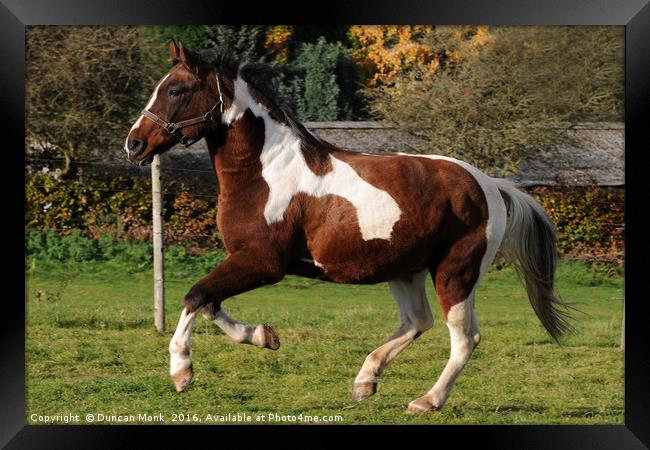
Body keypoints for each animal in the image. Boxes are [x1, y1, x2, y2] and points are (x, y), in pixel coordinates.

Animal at [124, 40, 568, 414]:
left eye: (176, 90)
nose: (134, 144)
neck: (264, 173)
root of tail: (489, 184)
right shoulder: (244, 261)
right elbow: (210, 303)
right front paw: (265, 336)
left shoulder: (263, 263)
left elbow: (195, 296)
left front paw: (181, 371)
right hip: (404, 270)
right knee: (417, 322)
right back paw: (365, 380)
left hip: (455, 272)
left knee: (463, 338)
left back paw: (427, 400)